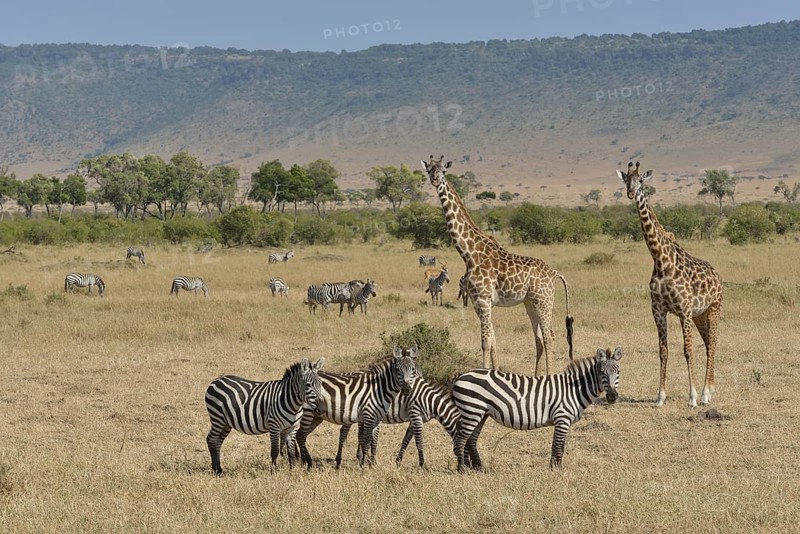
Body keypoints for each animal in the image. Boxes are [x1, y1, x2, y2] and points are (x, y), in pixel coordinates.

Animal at [421, 155, 573, 374]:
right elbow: (492, 340)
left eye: (443, 170)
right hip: (530, 303)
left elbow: (485, 342)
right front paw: (494, 372)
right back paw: (536, 377)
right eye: (429, 170)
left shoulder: (483, 300)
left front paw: (483, 374)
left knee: (549, 337)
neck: (469, 254)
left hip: (544, 301)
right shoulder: (477, 301)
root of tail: (554, 273)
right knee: (538, 339)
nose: (435, 180)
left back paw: (549, 376)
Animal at [452, 346, 623, 471]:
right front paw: (556, 470)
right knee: (461, 440)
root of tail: (460, 377)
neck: (574, 389)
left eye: (618, 372)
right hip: (472, 411)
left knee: (470, 440)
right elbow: (558, 446)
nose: (612, 397)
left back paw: (477, 468)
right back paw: (462, 469)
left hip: (480, 413)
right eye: (602, 373)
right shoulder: (562, 418)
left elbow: (559, 446)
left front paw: (554, 468)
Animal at [617, 161, 723, 408]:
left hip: (714, 309)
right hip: (700, 315)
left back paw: (705, 394)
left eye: (641, 180)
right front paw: (660, 397)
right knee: (708, 344)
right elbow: (663, 351)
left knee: (713, 344)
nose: (630, 193)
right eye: (625, 179)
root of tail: (717, 274)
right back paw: (710, 390)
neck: (660, 259)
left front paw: (692, 397)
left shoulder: (684, 310)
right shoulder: (658, 310)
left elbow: (687, 350)